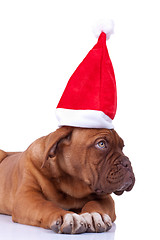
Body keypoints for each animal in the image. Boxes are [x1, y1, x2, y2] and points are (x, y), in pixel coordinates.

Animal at [0, 127, 135, 234]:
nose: (127, 163)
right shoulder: (27, 197)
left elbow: (95, 203)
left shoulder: (105, 199)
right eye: (101, 144)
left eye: (122, 147)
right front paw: (67, 216)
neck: (70, 183)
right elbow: (45, 204)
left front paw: (94, 215)